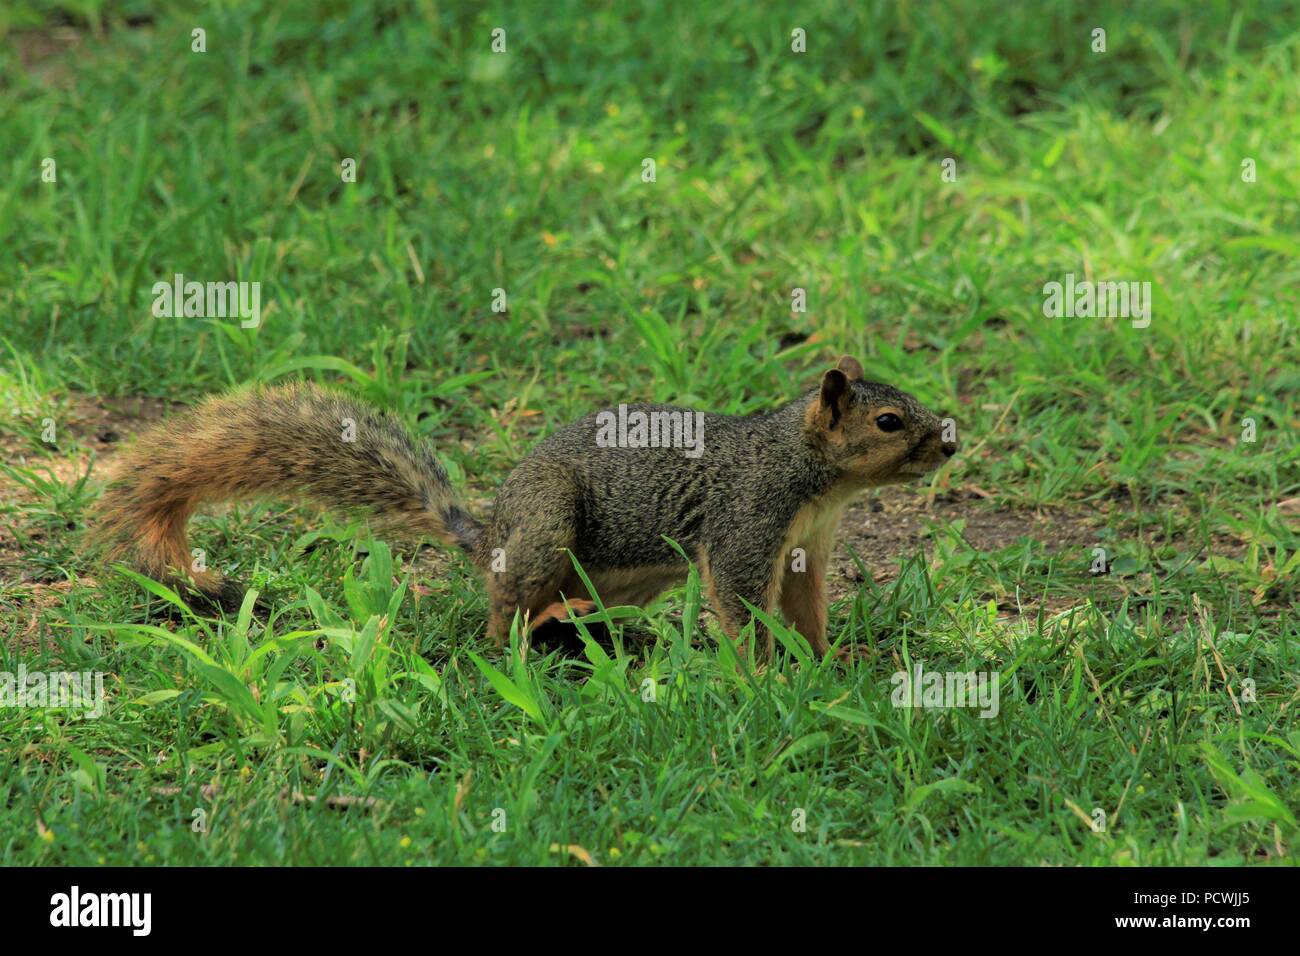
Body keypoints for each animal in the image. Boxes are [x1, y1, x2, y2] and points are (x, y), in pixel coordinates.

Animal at [94, 356, 956, 660]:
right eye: (889, 422)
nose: (948, 442)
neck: (811, 475)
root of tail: (489, 537)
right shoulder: (750, 519)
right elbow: (743, 602)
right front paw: (768, 678)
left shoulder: (808, 542)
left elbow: (806, 605)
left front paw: (826, 662)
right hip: (547, 524)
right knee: (501, 608)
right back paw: (518, 643)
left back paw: (585, 630)